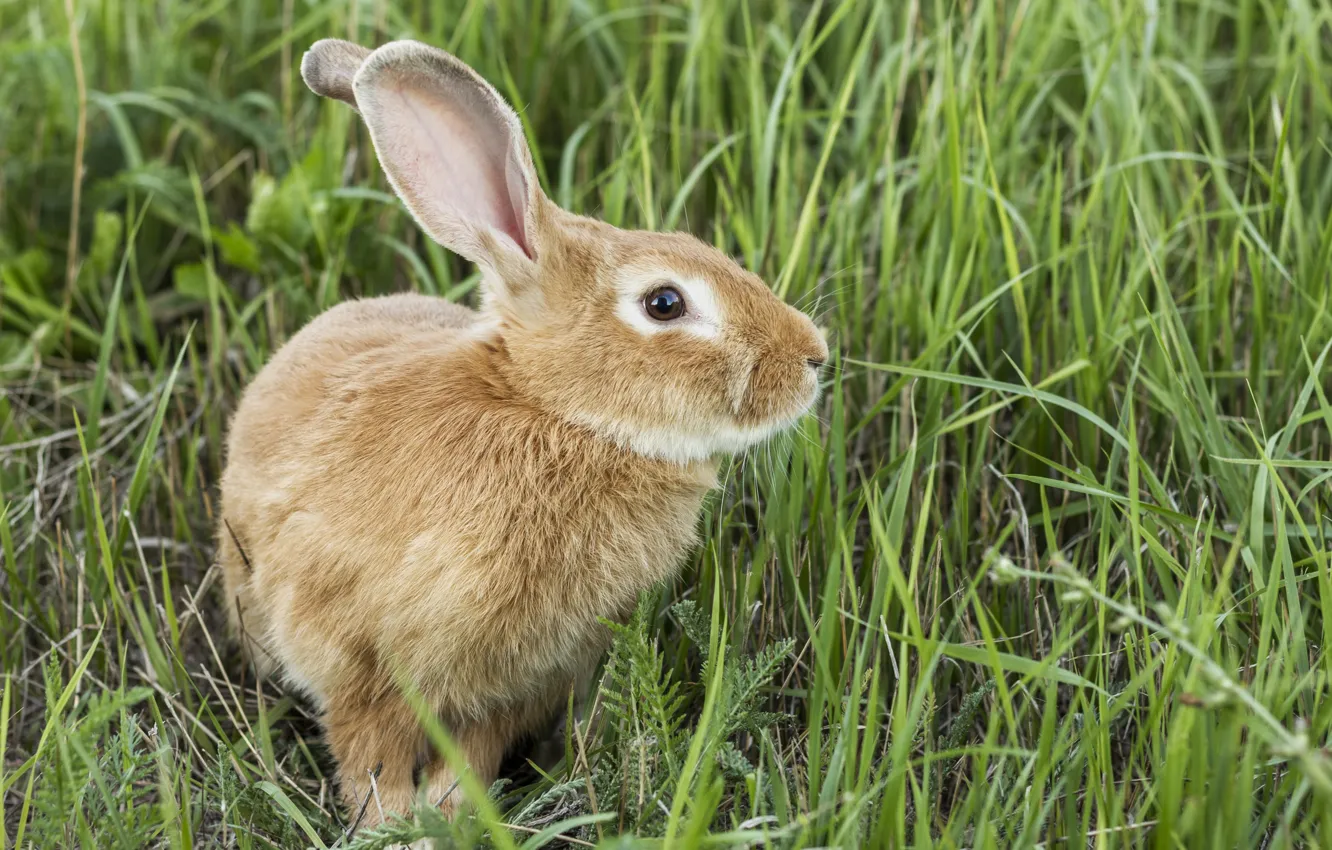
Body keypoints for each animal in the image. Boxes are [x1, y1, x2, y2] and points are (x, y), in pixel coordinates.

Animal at [214, 36, 825, 831]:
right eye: (665, 303)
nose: (814, 357)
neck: (553, 412)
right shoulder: (355, 654)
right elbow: (368, 748)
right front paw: (394, 824)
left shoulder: (524, 677)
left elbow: (476, 746)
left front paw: (452, 813)